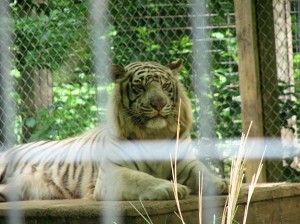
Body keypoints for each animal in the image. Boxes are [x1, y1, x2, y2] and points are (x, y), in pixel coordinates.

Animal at [0, 60, 226, 201]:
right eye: (141, 88)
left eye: (164, 86)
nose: (159, 104)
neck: (154, 134)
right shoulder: (112, 172)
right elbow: (140, 179)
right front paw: (169, 188)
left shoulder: (185, 162)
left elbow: (202, 172)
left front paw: (221, 183)